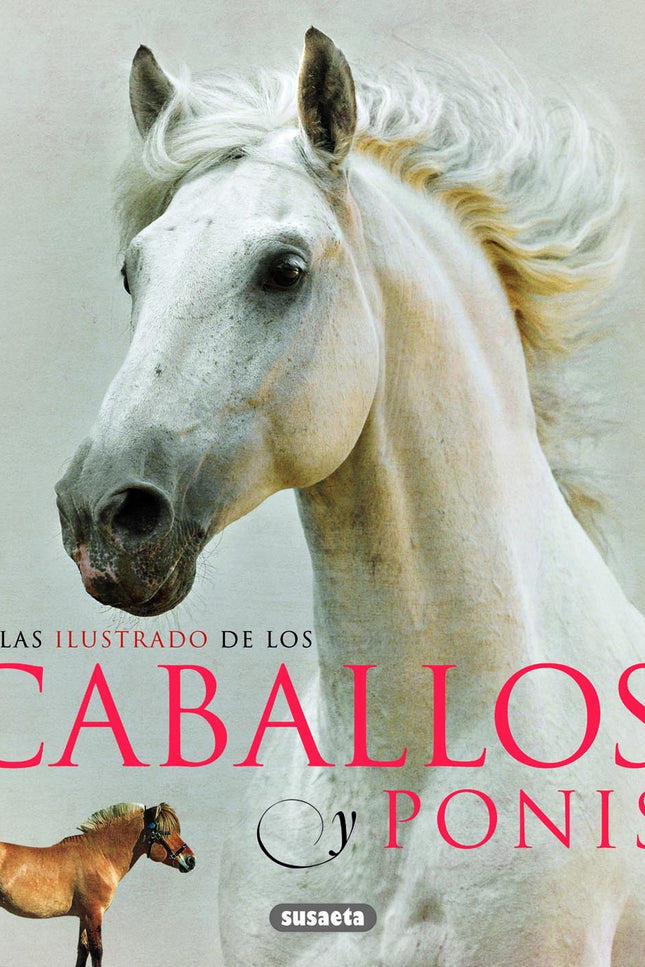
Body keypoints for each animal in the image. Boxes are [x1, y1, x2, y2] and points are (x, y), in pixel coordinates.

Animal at [0, 802, 195, 966]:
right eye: (165, 832)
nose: (191, 860)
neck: (99, 854)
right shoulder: (94, 914)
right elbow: (97, 951)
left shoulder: (83, 916)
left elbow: (82, 950)